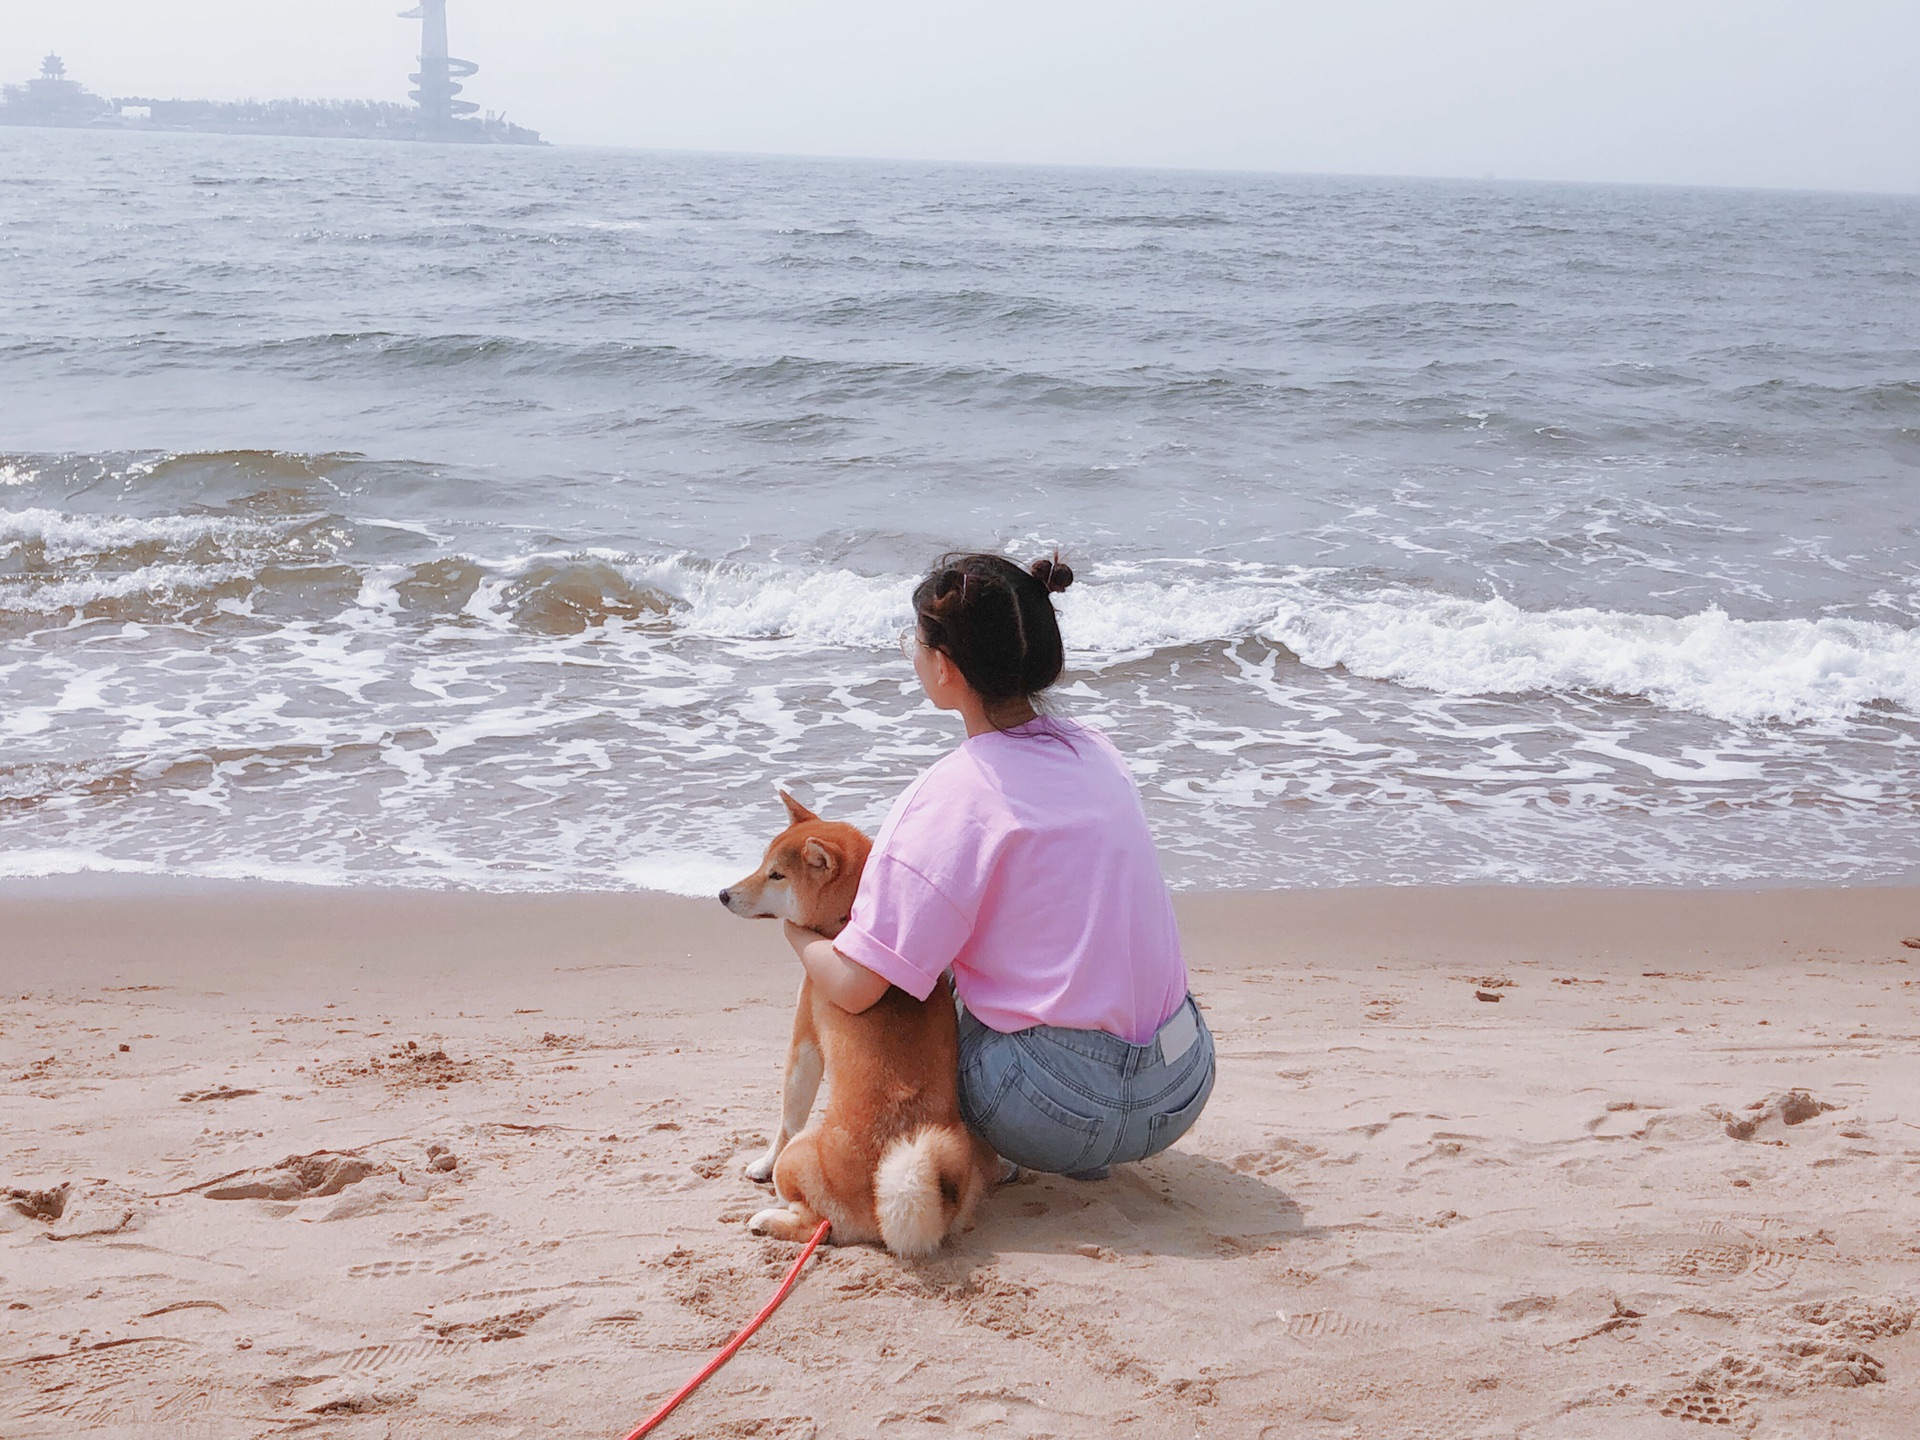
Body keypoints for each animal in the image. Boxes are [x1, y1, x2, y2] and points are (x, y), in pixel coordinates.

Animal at [718, 794, 998, 1259]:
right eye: (761, 863)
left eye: (776, 875)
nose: (722, 894)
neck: (849, 922)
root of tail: (888, 1208)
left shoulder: (805, 1039)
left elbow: (786, 1118)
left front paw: (760, 1163)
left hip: (802, 1157)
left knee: (816, 1222)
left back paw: (767, 1219)